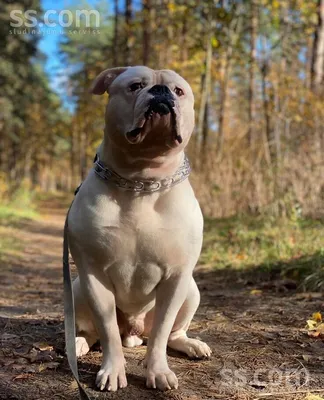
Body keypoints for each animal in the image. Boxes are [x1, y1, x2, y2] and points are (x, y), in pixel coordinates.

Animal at [67, 65, 211, 390]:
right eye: (134, 86)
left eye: (179, 91)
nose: (161, 93)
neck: (140, 181)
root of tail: (133, 333)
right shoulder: (94, 275)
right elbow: (107, 330)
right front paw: (112, 370)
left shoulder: (176, 278)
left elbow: (160, 332)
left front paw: (158, 371)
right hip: (78, 288)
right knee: (92, 332)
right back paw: (78, 343)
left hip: (191, 290)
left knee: (172, 333)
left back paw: (191, 344)